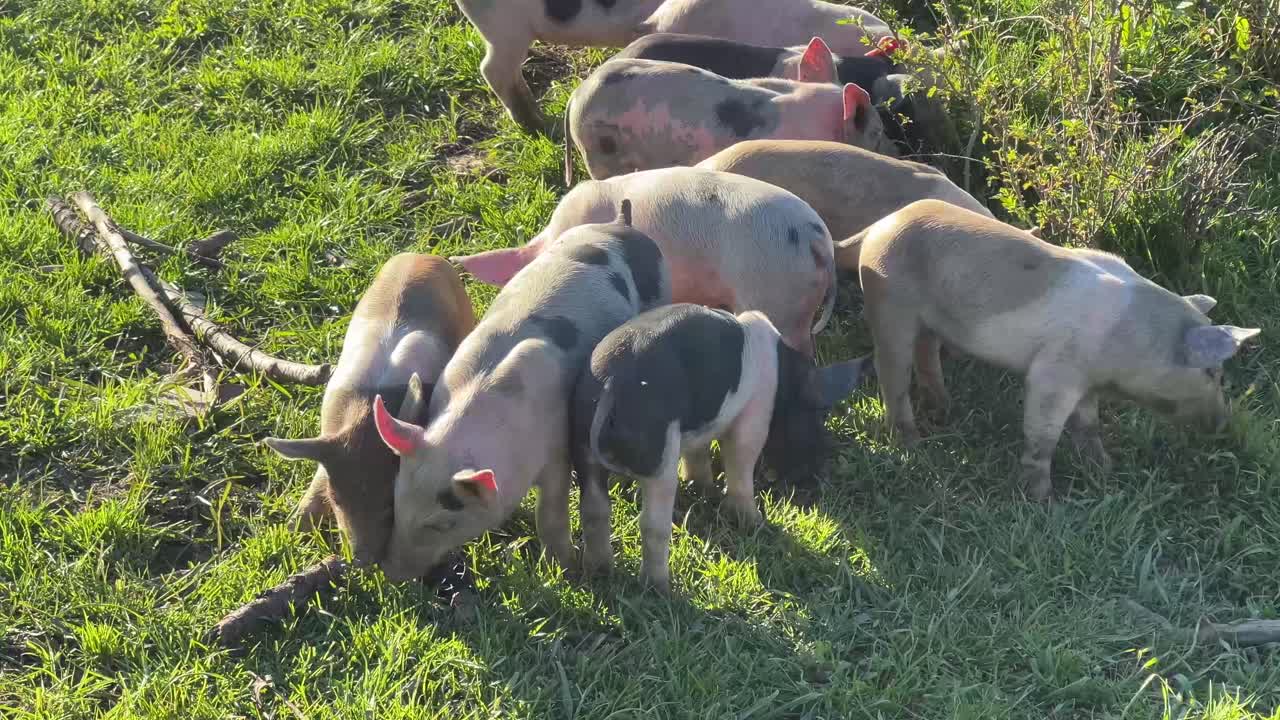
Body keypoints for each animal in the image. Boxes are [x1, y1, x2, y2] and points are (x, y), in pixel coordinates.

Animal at [263, 254, 476, 564]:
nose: (360, 561)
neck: (366, 414)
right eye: (336, 499)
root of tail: (421, 255)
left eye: (389, 503)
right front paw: (290, 530)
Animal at [370, 200, 674, 581]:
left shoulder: (557, 447)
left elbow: (551, 513)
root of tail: (622, 223)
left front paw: (564, 569)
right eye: (396, 503)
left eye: (443, 523)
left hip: (662, 291)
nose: (390, 573)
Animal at [571, 303, 872, 591]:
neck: (785, 381)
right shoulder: (754, 415)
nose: (818, 478)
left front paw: (703, 488)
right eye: (817, 416)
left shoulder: (699, 427)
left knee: (594, 509)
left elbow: (697, 455)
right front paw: (753, 522)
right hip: (658, 457)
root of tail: (611, 385)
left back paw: (600, 573)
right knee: (652, 523)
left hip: (584, 448)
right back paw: (661, 589)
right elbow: (740, 460)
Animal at [857, 200, 1261, 501]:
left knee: (926, 355)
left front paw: (1105, 471)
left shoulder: (1085, 382)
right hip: (890, 303)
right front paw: (1045, 500)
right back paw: (913, 444)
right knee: (891, 371)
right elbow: (1044, 437)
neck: (1129, 341)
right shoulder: (1054, 372)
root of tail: (881, 225)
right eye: (1214, 373)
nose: (1223, 424)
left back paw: (945, 409)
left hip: (929, 321)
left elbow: (1089, 426)